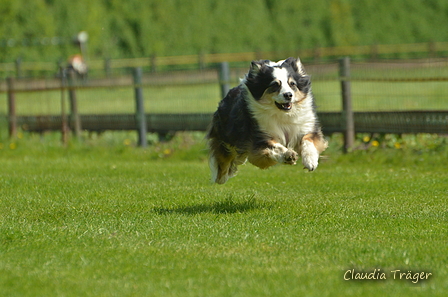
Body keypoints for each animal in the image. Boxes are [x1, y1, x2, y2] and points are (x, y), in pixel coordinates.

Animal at [206, 56, 326, 184]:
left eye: (292, 84)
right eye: (275, 85)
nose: (288, 95)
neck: (283, 114)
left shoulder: (306, 126)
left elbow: (308, 140)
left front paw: (311, 161)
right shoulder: (260, 137)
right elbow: (275, 147)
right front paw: (288, 155)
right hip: (228, 137)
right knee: (225, 159)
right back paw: (221, 178)